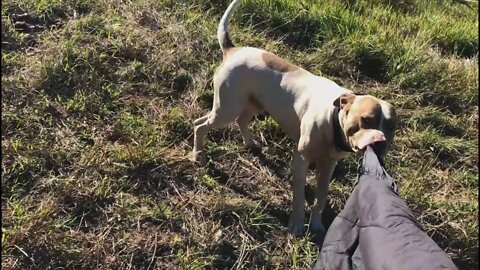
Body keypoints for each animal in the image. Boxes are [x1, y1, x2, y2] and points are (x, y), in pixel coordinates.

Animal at [191, 0, 398, 235]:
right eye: (366, 119)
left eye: (391, 127)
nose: (380, 142)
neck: (332, 120)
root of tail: (233, 50)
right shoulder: (300, 163)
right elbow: (299, 198)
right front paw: (297, 223)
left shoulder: (327, 167)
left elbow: (320, 198)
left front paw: (316, 224)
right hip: (226, 108)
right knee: (200, 124)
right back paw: (198, 155)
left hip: (253, 103)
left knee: (242, 120)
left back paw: (250, 143)